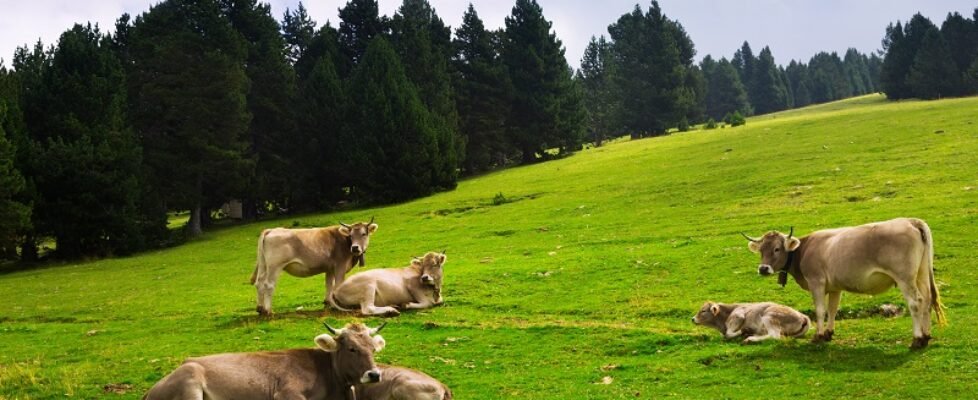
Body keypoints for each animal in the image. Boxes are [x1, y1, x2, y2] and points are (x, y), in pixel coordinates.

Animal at [251, 218, 379, 315]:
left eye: (363, 234)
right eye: (351, 235)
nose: (355, 248)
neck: (345, 242)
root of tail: (271, 230)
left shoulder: (330, 268)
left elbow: (329, 285)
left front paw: (329, 303)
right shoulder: (340, 266)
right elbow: (338, 284)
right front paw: (340, 305)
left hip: (263, 265)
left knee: (259, 283)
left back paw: (260, 308)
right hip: (275, 266)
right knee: (268, 285)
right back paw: (268, 311)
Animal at [742, 218, 947, 349]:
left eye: (777, 248)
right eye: (761, 249)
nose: (763, 269)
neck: (804, 250)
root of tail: (911, 221)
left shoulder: (816, 282)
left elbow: (820, 310)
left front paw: (818, 336)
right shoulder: (835, 287)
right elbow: (833, 309)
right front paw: (828, 333)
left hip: (905, 277)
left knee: (915, 303)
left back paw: (917, 339)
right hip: (921, 274)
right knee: (927, 300)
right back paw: (926, 336)